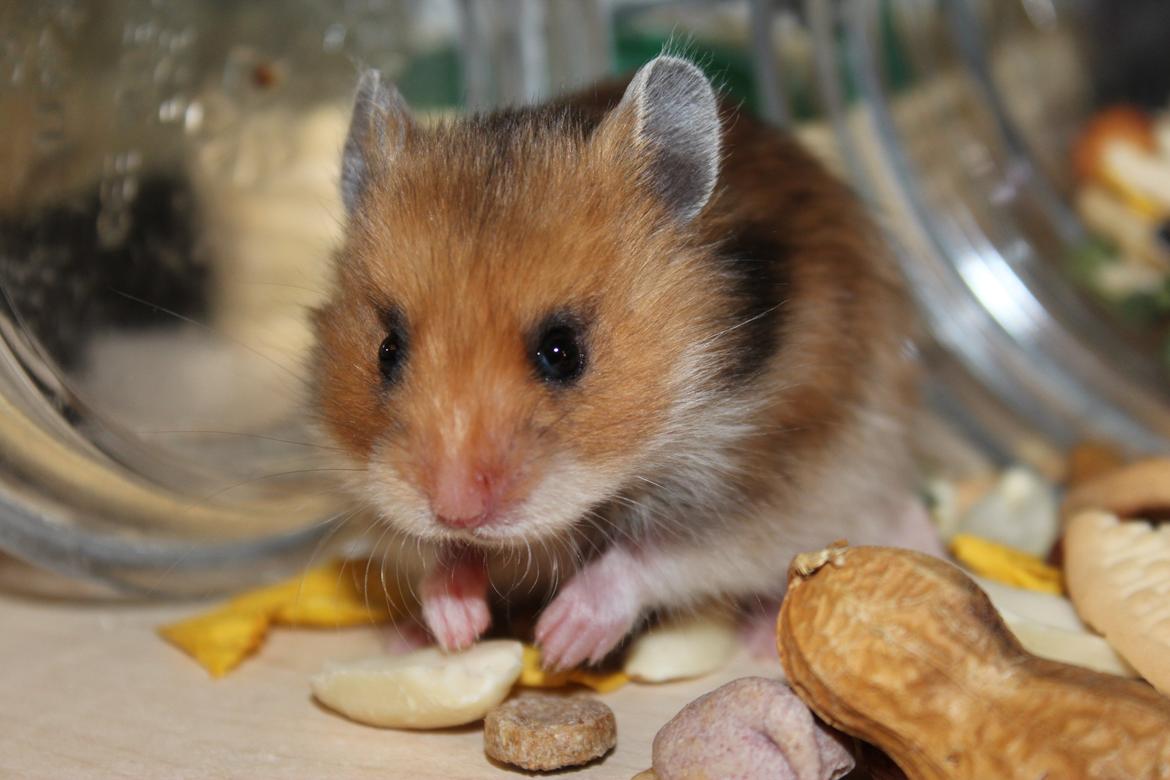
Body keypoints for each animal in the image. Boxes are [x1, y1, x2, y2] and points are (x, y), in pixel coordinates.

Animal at [313, 56, 931, 669]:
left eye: (562, 352)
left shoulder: (758, 494)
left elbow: (646, 557)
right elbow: (442, 556)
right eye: (387, 350)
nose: (455, 511)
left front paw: (559, 641)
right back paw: (408, 637)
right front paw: (457, 624)